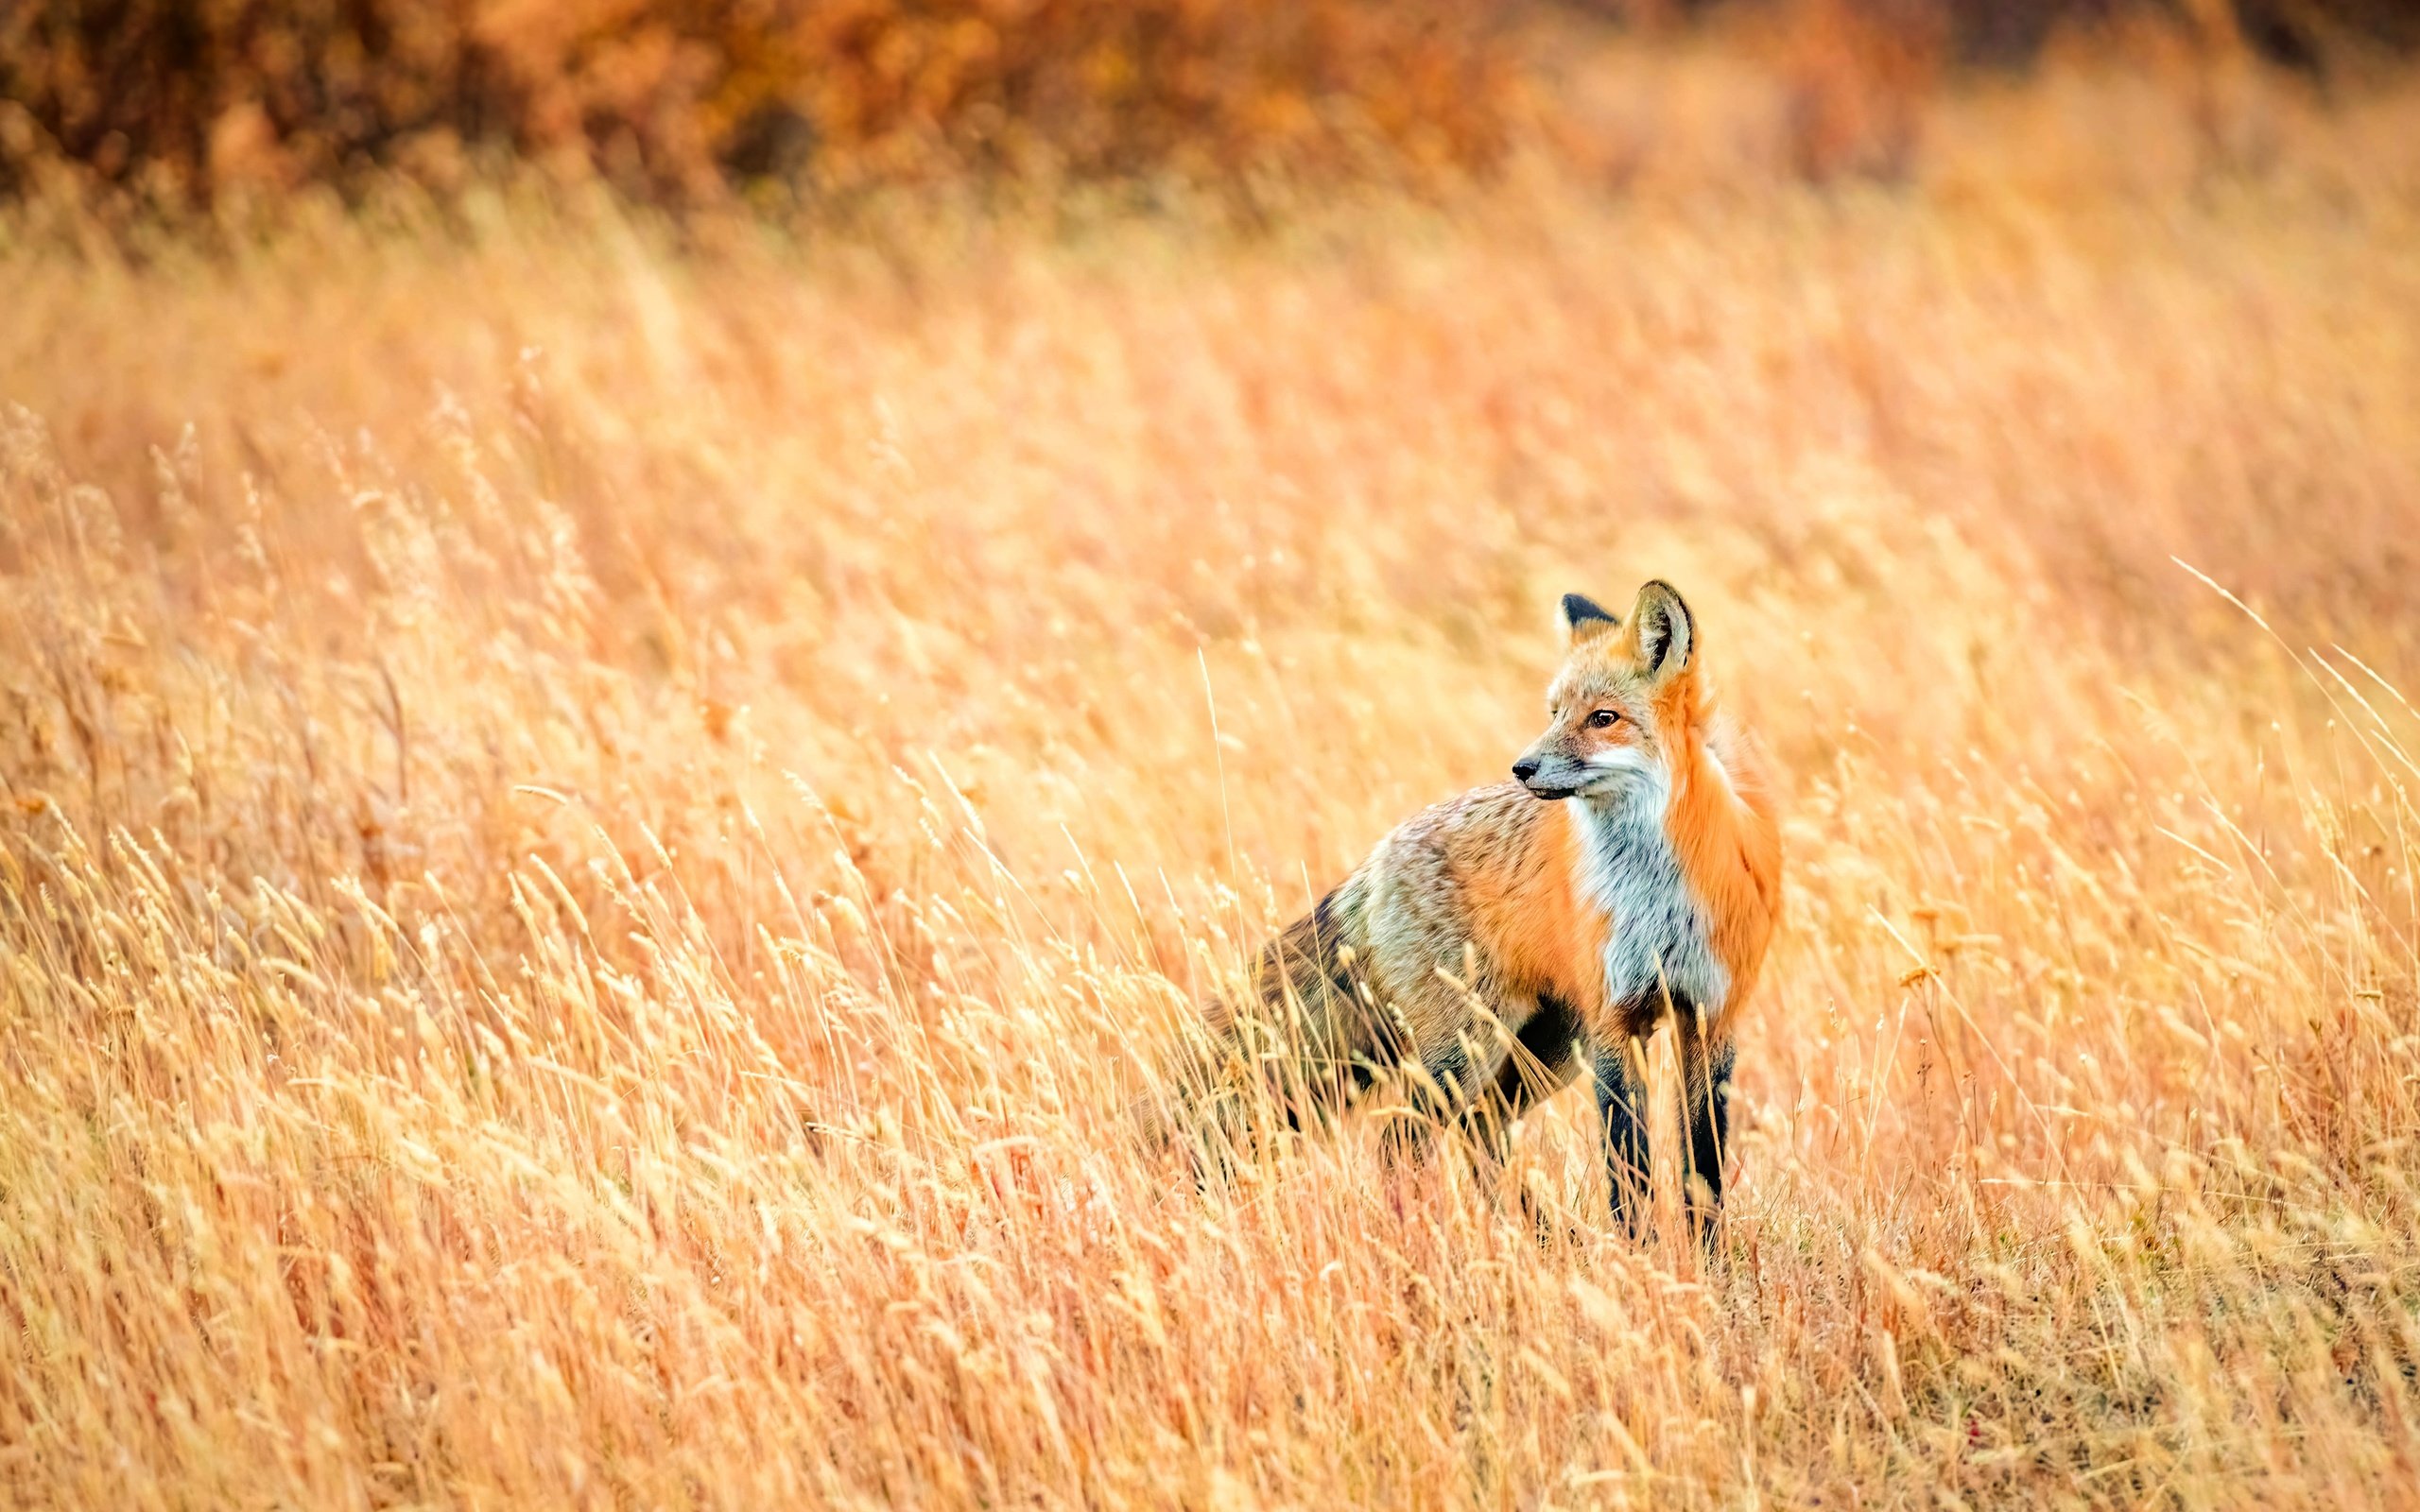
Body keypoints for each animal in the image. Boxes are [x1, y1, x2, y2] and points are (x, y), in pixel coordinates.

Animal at [1200, 580, 1790, 1238]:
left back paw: (1539, 1236)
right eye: (1553, 713)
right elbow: (1627, 1164)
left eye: (1602, 718)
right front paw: (1638, 1254)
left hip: (1545, 1049)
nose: (1522, 767)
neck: (1656, 894)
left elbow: (1703, 1168)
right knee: (1401, 1138)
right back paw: (1432, 1237)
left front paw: (1704, 1260)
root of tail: (1377, 858)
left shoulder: (1712, 1018)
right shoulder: (1614, 1022)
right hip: (1473, 1047)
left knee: (1479, 1128)